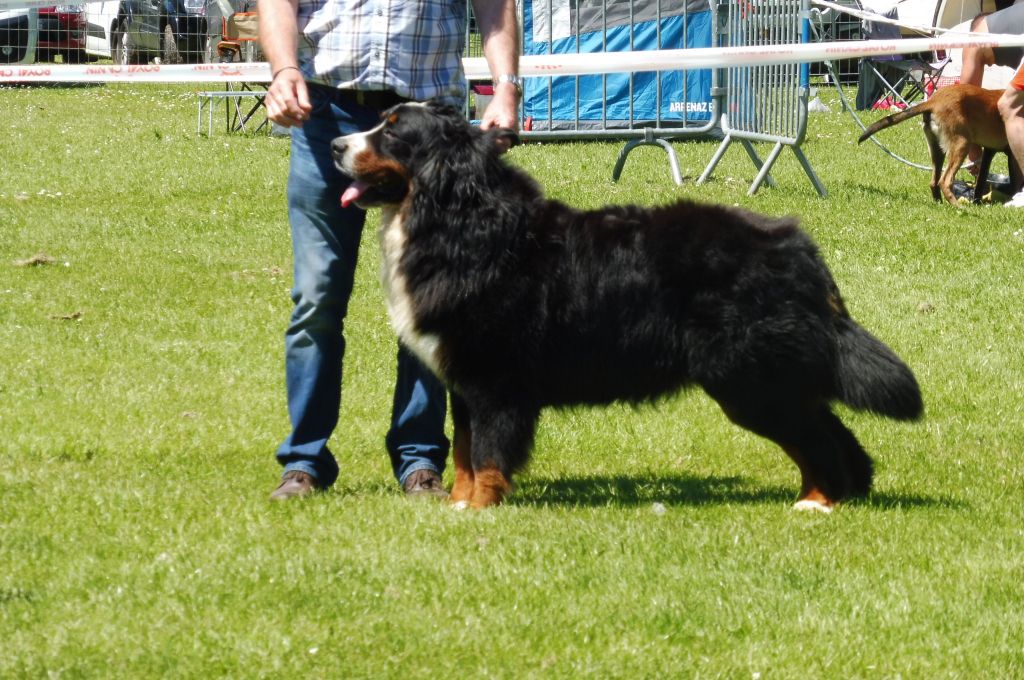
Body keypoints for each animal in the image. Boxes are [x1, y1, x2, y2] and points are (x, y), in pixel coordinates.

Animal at [332, 101, 923, 513]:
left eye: (392, 131)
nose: (337, 143)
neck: (456, 217)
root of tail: (797, 244)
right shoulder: (464, 379)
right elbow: (463, 450)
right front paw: (457, 504)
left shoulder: (495, 380)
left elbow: (489, 453)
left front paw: (479, 510)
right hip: (765, 377)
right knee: (829, 432)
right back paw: (838, 494)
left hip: (748, 378)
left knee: (816, 436)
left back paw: (819, 502)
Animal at [858, 83, 1022, 205]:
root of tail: (933, 101)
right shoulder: (1012, 155)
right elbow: (1016, 181)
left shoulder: (990, 151)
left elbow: (982, 182)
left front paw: (978, 201)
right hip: (962, 144)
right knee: (945, 181)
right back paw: (958, 206)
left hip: (937, 150)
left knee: (934, 182)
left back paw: (939, 204)